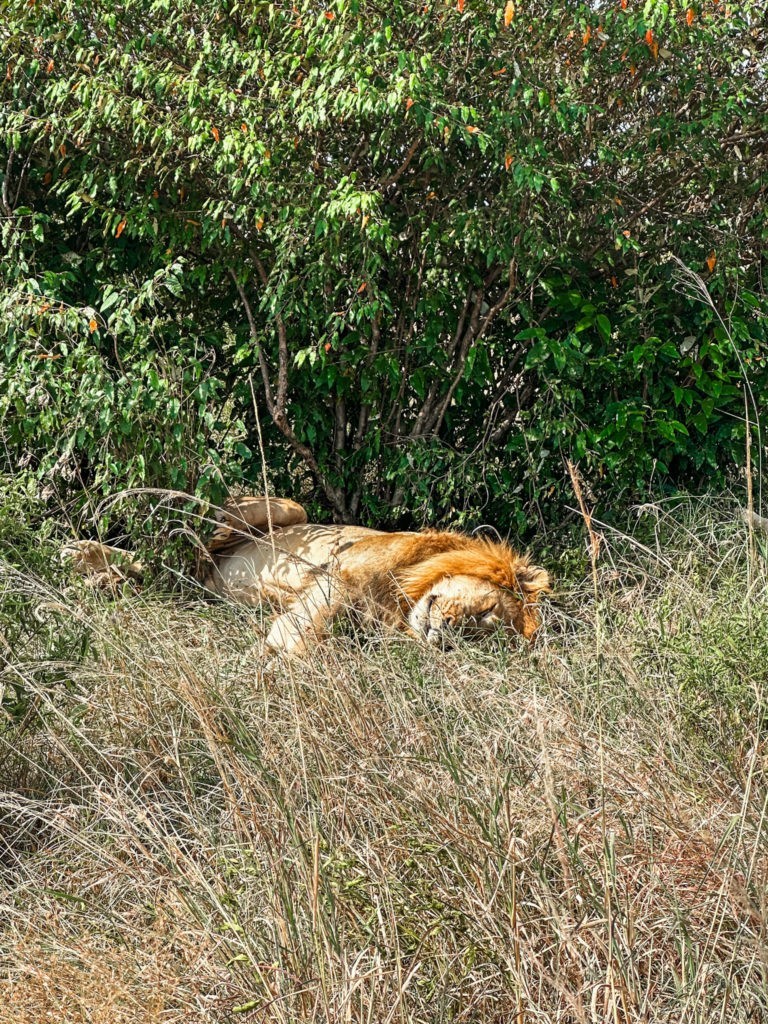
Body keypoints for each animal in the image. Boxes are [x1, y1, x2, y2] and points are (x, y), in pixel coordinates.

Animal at [63, 495, 548, 655]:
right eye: (484, 610)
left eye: (477, 640)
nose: (445, 637)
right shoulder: (339, 576)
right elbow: (303, 632)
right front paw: (273, 659)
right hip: (282, 510)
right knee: (181, 553)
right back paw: (83, 555)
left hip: (206, 583)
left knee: (177, 576)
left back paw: (103, 579)